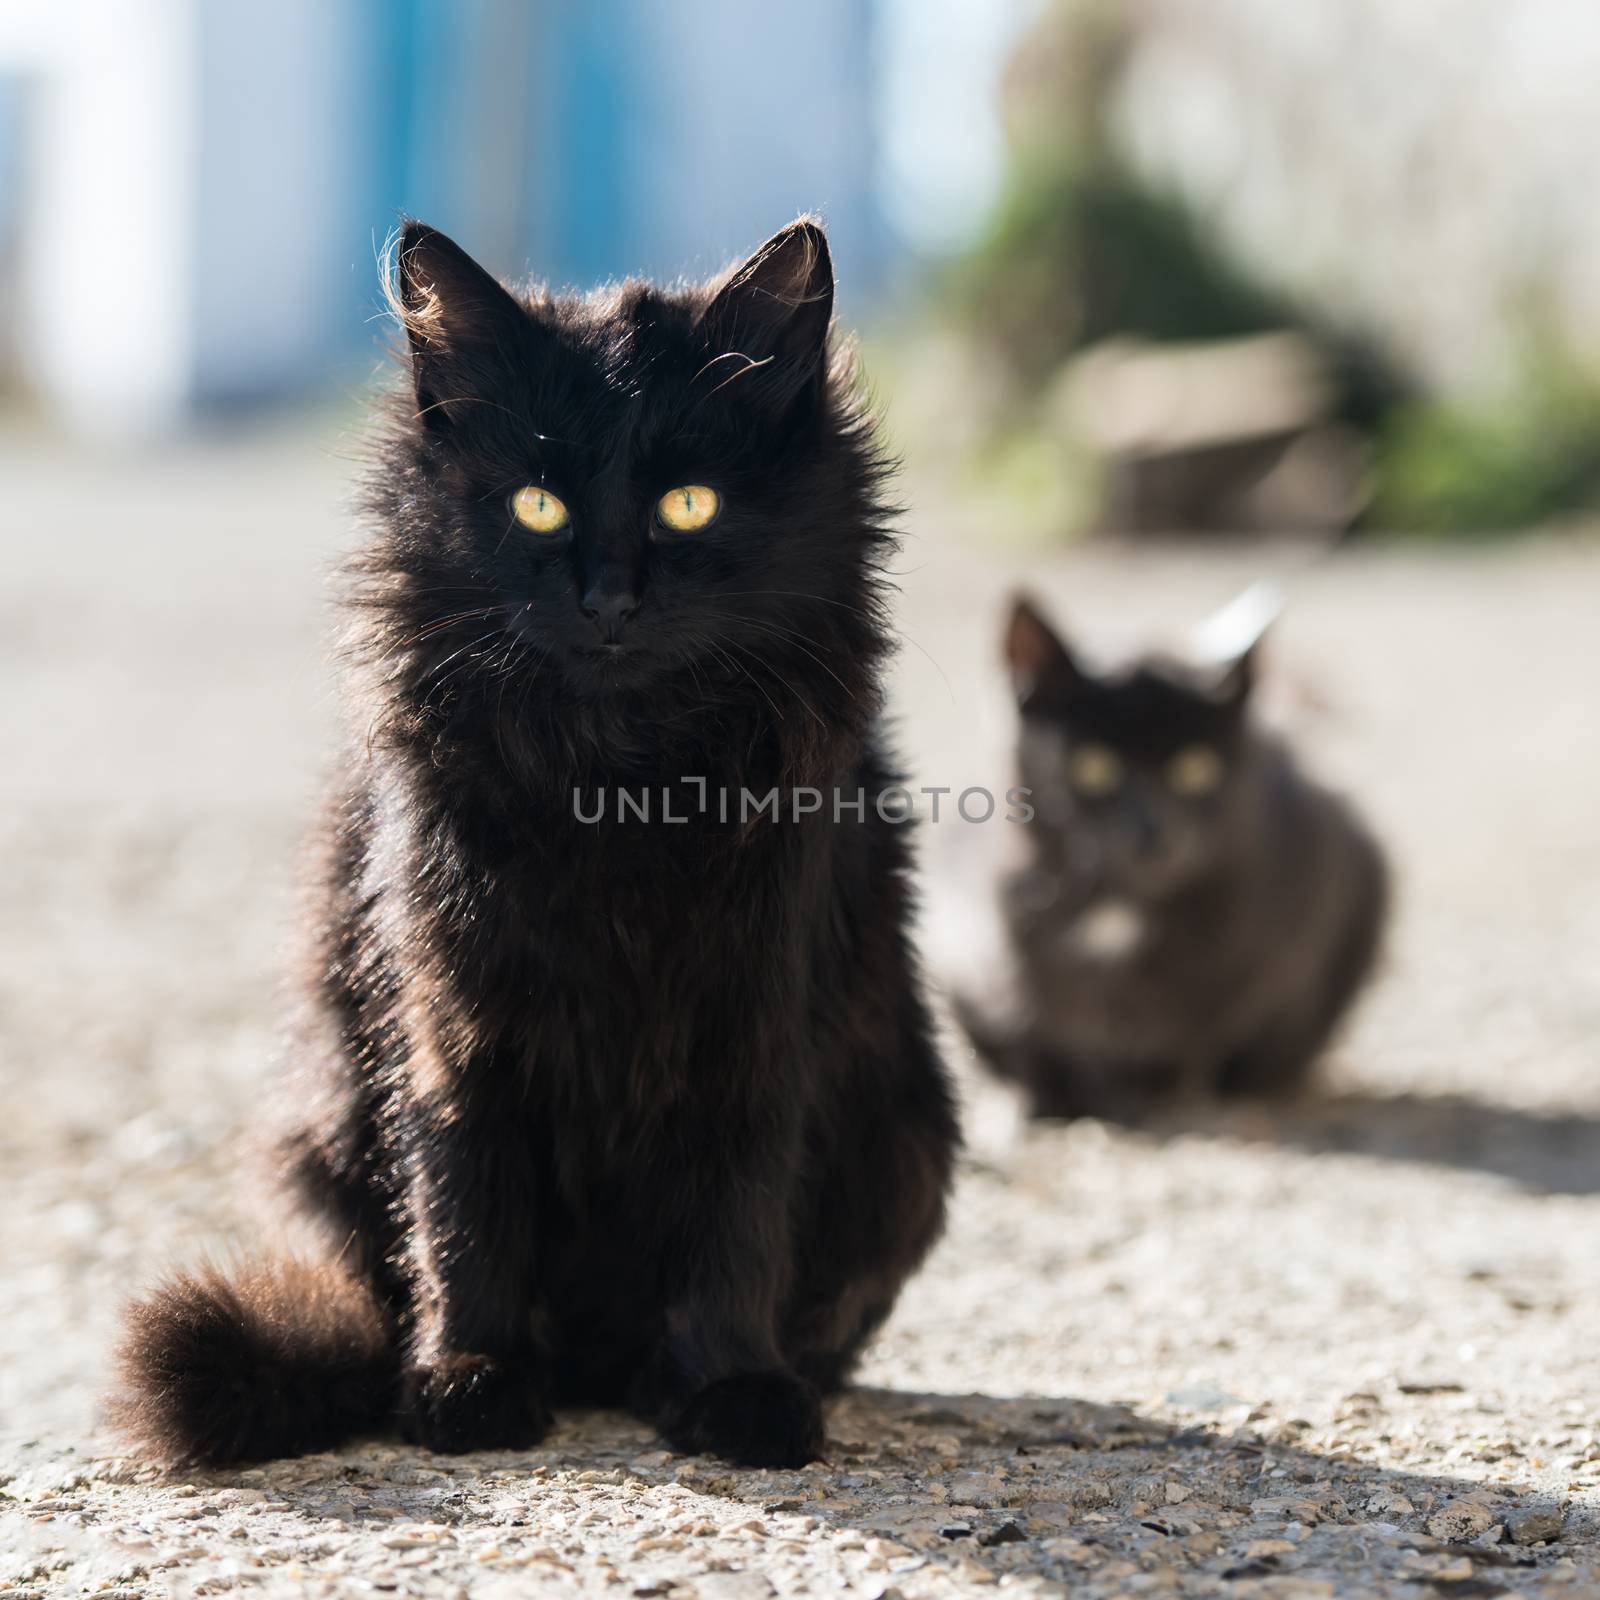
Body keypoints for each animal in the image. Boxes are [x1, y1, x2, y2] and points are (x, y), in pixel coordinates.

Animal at [118, 219, 960, 1465]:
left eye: (691, 504)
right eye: (538, 507)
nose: (608, 599)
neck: (618, 776)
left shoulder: (756, 1011)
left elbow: (736, 1215)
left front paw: (732, 1389)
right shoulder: (453, 1013)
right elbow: (465, 1205)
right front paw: (469, 1378)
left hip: (908, 1139)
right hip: (312, 1130)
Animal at [947, 595, 1388, 1120]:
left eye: (1195, 768)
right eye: (1094, 765)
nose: (1152, 832)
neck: (1119, 910)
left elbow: (1206, 1020)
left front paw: (1155, 1087)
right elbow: (1032, 1015)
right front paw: (1048, 1091)